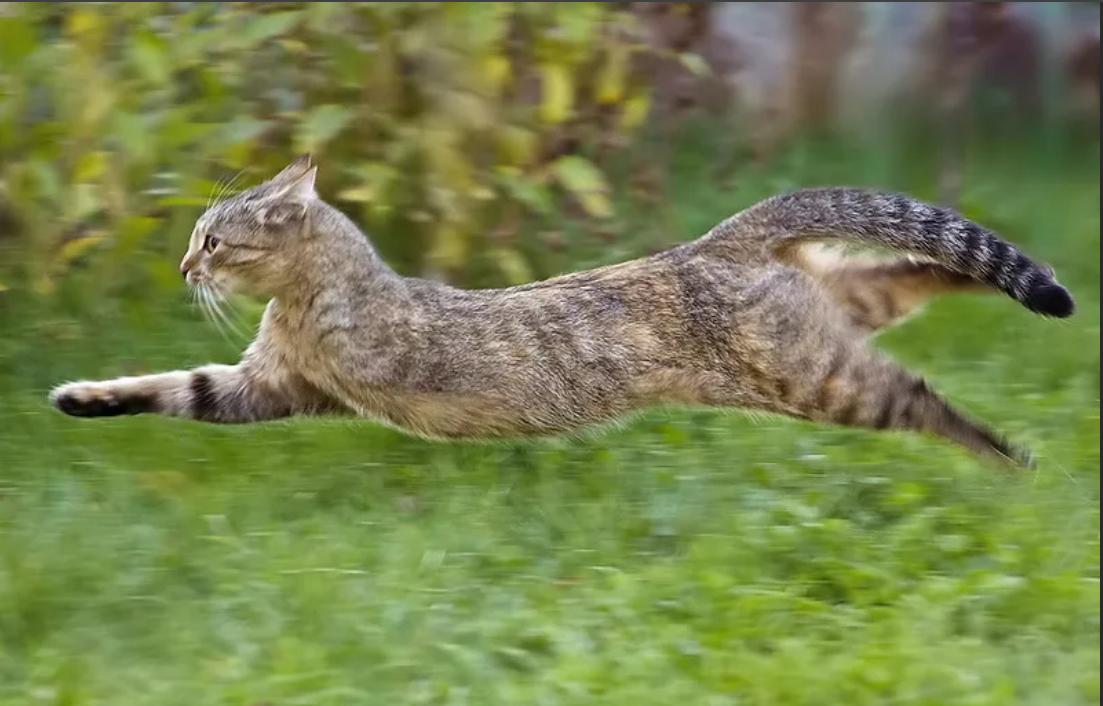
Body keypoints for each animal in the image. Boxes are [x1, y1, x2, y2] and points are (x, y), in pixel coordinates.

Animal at [49, 155, 1075, 468]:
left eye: (216, 241)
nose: (185, 264)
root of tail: (716, 241)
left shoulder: (311, 381)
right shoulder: (260, 389)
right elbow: (168, 388)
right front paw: (80, 398)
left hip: (813, 377)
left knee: (919, 396)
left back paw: (1006, 458)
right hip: (836, 306)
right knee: (918, 268)